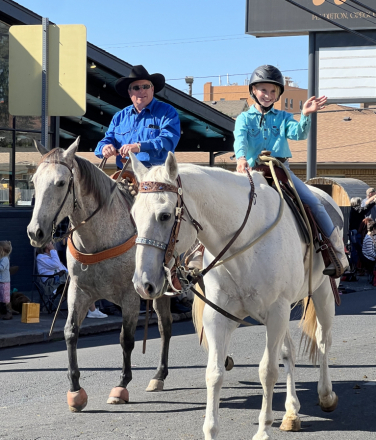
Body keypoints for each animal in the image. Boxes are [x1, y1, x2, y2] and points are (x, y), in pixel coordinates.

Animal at [27, 141, 175, 412]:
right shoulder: (78, 291)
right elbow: (70, 332)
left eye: (61, 182)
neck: (99, 237)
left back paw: (160, 374)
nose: (35, 232)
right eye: (33, 181)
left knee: (166, 326)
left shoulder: (130, 296)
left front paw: (121, 385)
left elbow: (126, 339)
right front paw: (75, 390)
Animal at [130, 153, 340, 440]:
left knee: (323, 341)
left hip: (323, 293)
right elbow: (215, 373)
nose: (143, 284)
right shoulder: (220, 317)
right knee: (289, 351)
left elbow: (267, 371)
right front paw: (211, 430)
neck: (242, 244)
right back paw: (291, 412)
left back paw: (326, 395)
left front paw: (263, 430)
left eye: (164, 215)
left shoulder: (276, 311)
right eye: (133, 215)